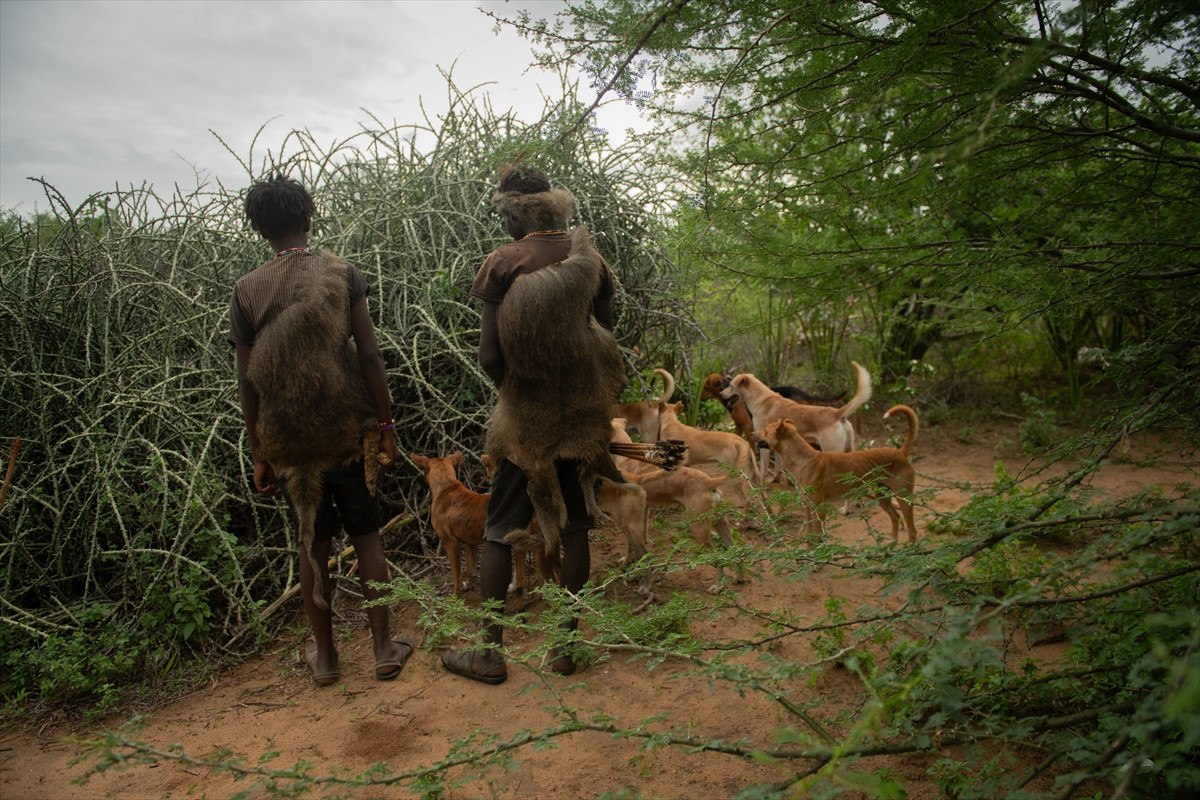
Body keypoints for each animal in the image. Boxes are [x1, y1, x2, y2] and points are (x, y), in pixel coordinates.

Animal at [715, 362, 868, 453]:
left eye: (730, 386)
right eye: (726, 386)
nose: (721, 394)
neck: (760, 399)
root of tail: (837, 413)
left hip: (831, 450)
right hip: (849, 450)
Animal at [758, 402, 916, 542]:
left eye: (765, 431)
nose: (753, 433)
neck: (805, 460)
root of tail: (900, 452)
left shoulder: (819, 508)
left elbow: (818, 537)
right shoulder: (808, 507)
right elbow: (811, 538)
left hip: (904, 499)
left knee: (912, 530)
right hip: (882, 497)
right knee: (896, 517)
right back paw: (892, 545)